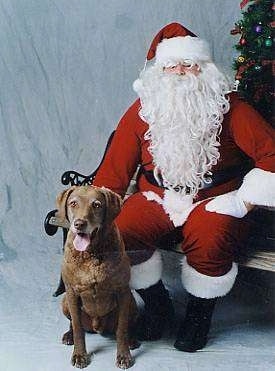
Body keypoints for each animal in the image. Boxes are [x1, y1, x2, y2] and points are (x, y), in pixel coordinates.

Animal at [57, 186, 140, 370]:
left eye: (96, 205)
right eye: (73, 203)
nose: (79, 224)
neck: (92, 253)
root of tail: (97, 327)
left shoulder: (123, 292)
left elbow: (122, 329)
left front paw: (124, 356)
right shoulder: (72, 292)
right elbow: (78, 327)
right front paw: (79, 355)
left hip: (132, 302)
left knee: (127, 324)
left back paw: (132, 340)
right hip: (65, 301)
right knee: (73, 322)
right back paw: (68, 336)